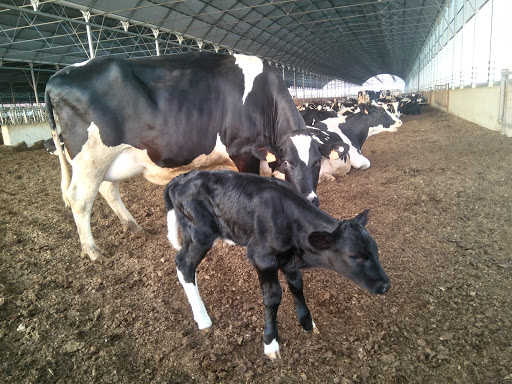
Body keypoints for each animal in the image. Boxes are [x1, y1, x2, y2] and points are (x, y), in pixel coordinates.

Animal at [43, 51, 336, 260]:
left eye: (317, 162)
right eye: (288, 162)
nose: (311, 199)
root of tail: (61, 74)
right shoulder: (244, 153)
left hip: (111, 160)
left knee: (107, 189)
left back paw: (133, 226)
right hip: (90, 157)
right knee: (80, 199)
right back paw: (93, 251)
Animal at [166, 170, 390, 358]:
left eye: (375, 250)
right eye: (355, 256)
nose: (386, 285)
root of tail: (182, 177)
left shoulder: (290, 261)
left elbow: (297, 286)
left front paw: (307, 322)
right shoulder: (262, 258)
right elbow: (273, 297)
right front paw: (270, 342)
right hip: (200, 233)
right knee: (184, 265)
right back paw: (203, 319)